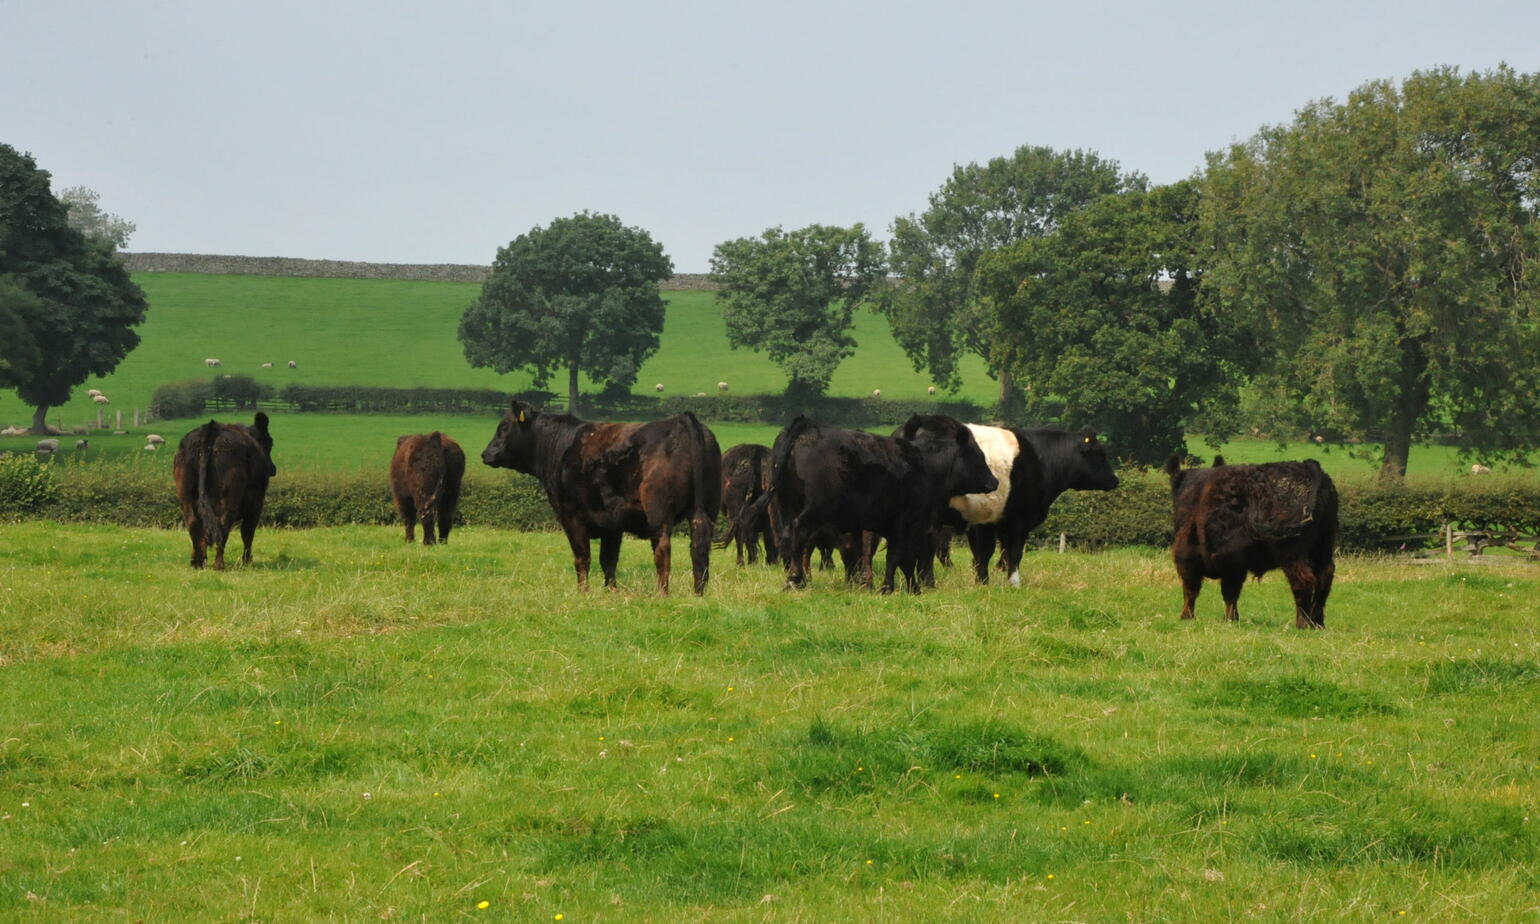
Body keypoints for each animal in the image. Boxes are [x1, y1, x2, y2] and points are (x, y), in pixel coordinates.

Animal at [175, 412, 280, 569]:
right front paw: (247, 561)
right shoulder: (256, 504)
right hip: (229, 497)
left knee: (194, 523)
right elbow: (248, 533)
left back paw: (197, 562)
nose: (273, 468)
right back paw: (219, 564)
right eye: (270, 443)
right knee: (223, 525)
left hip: (185, 493)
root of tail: (211, 429)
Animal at [480, 400, 720, 594]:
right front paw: (610, 591)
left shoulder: (571, 516)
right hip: (707, 509)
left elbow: (582, 557)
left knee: (663, 549)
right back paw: (698, 593)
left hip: (658, 512)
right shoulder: (612, 523)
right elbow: (608, 559)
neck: (560, 444)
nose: (485, 454)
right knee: (700, 548)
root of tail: (682, 420)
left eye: (503, 427)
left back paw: (662, 593)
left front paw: (583, 592)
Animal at [757, 412, 997, 591]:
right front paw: (895, 588)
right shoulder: (907, 524)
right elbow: (901, 556)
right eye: (978, 455)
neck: (924, 465)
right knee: (800, 534)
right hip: (814, 509)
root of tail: (807, 428)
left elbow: (897, 558)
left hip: (787, 506)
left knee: (790, 538)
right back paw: (796, 580)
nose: (994, 481)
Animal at [936, 425, 1121, 585]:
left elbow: (999, 554)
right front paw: (1000, 582)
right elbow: (1000, 553)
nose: (1115, 480)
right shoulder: (1007, 521)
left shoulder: (1000, 522)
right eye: (1100, 454)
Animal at [1164, 452, 1336, 628]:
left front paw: (1186, 616)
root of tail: (1308, 466)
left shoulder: (1186, 556)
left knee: (1304, 580)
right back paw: (1317, 623)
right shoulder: (1233, 564)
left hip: (1291, 552)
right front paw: (1231, 619)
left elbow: (1190, 590)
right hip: (1324, 545)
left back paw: (1302, 623)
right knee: (1324, 577)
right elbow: (1231, 593)